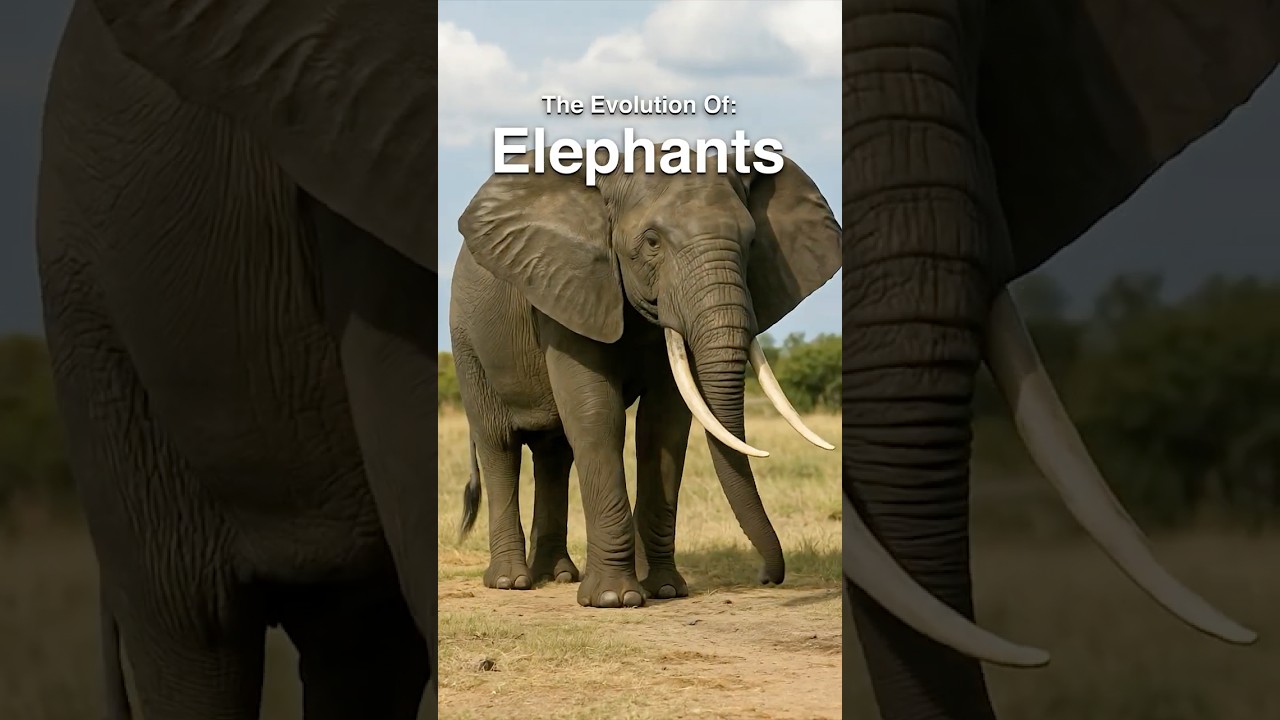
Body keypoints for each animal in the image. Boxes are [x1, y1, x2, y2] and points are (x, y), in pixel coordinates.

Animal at [448, 148, 842, 608]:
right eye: (652, 243)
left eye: (751, 243)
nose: (767, 576)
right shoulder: (569, 282)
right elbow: (597, 415)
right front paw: (614, 600)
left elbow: (663, 426)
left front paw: (666, 590)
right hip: (466, 340)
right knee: (499, 445)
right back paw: (512, 582)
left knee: (554, 453)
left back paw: (557, 575)